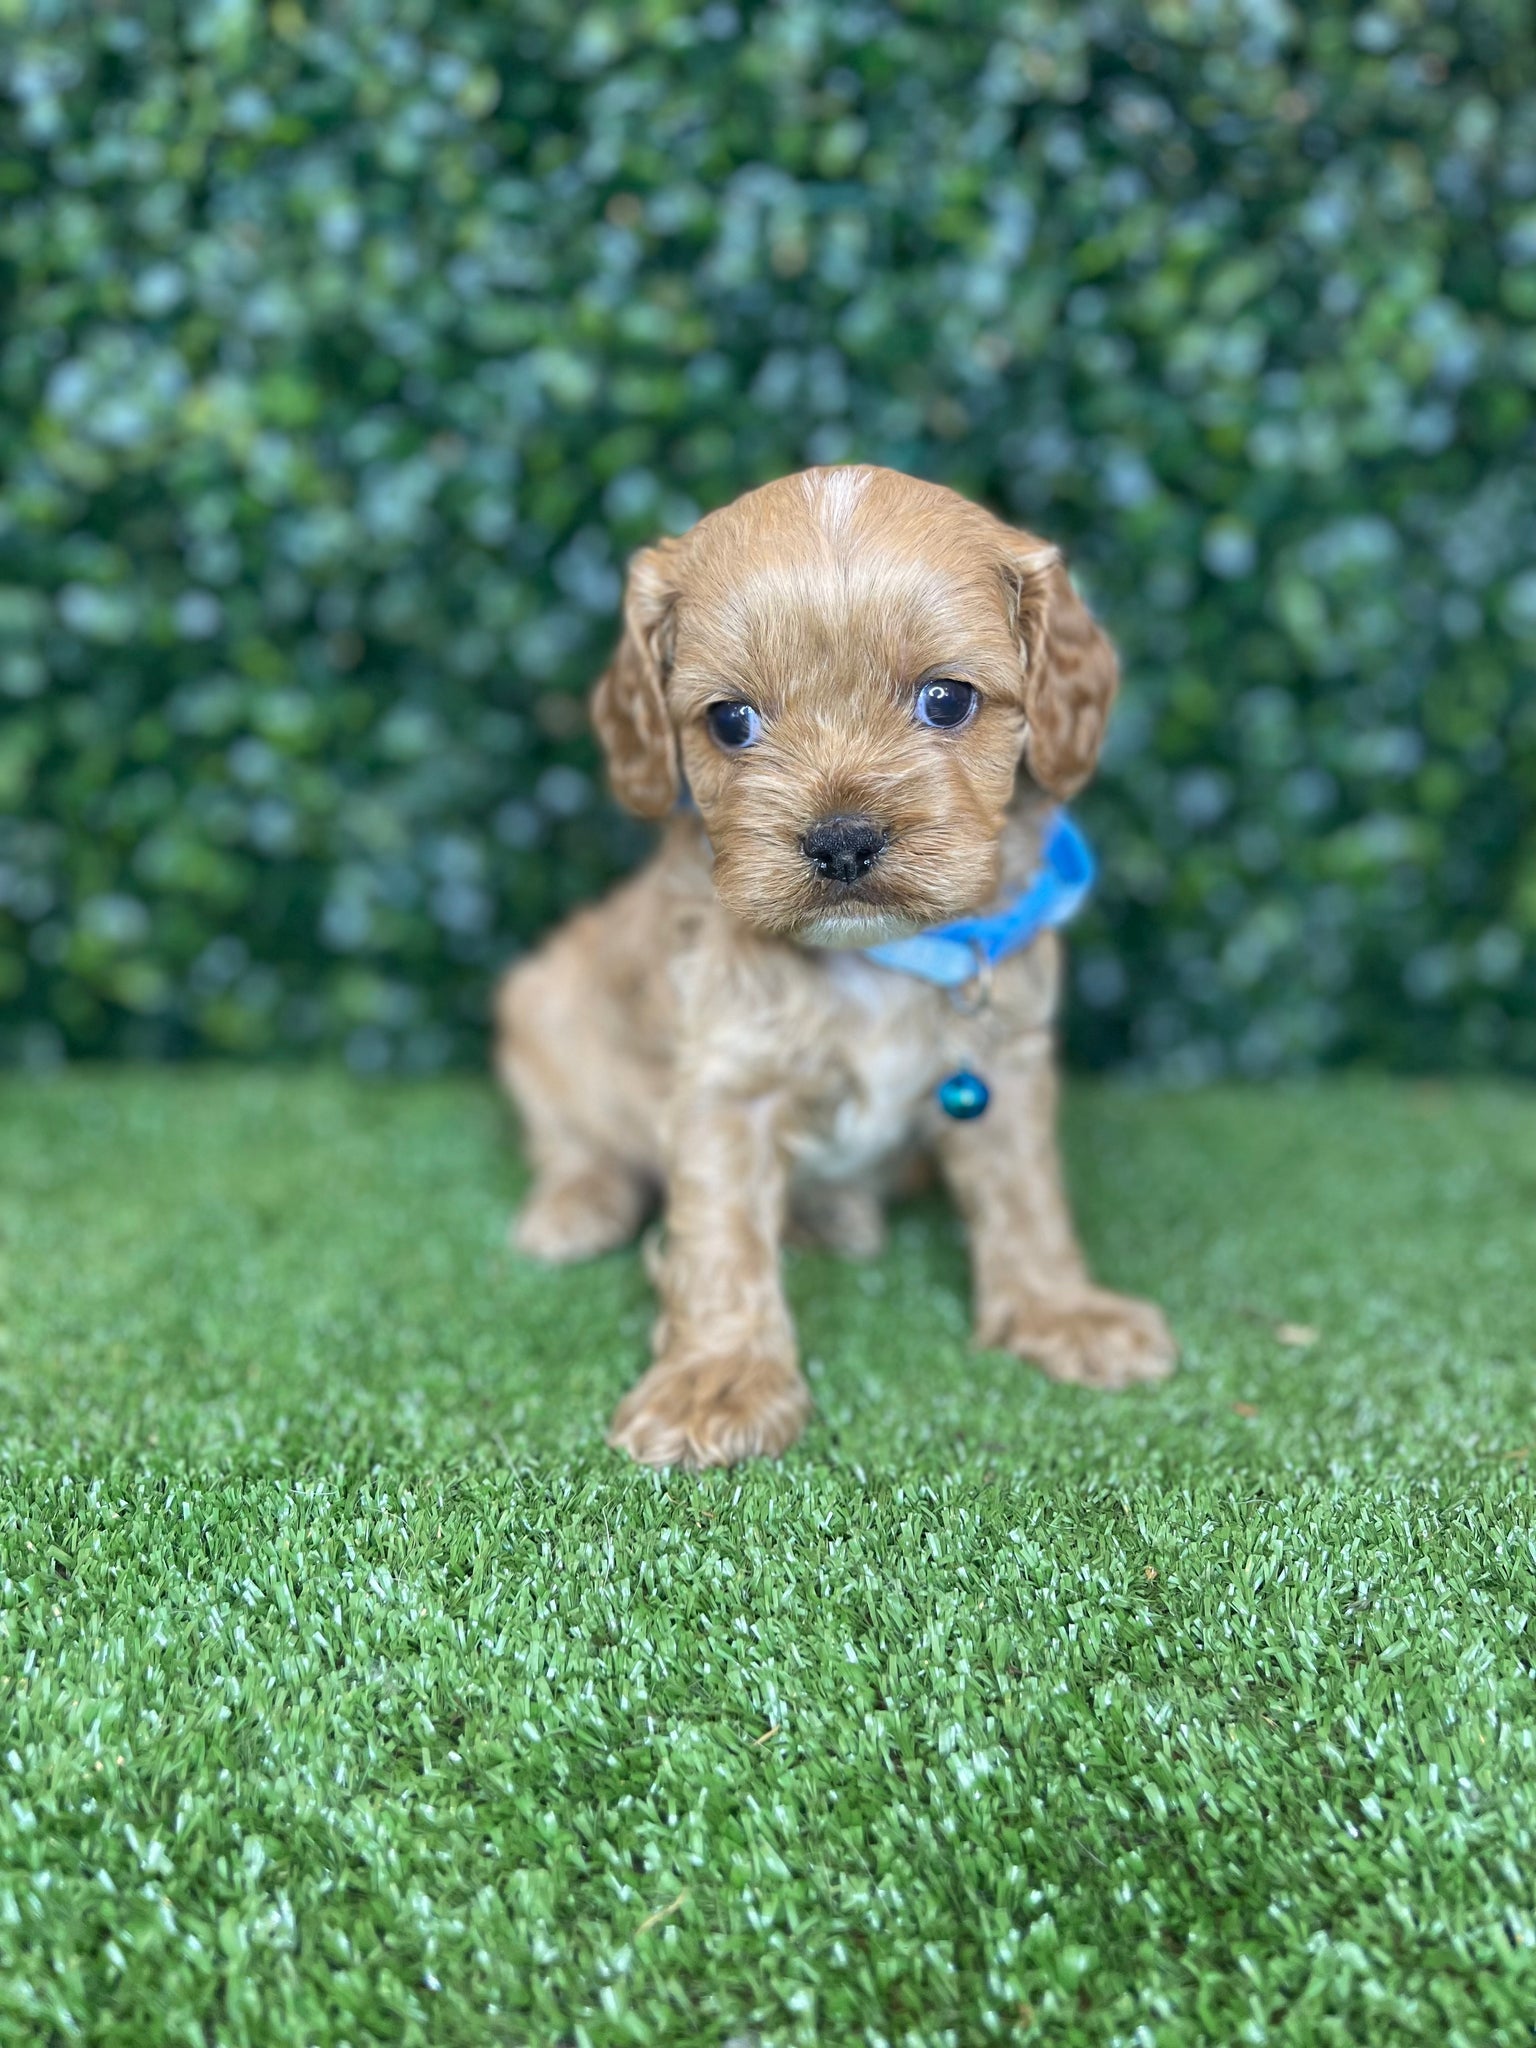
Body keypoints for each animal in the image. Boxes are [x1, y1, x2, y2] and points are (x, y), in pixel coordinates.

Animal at [499, 460, 1171, 1474]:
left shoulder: (1005, 1062)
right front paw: (720, 1380)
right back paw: (575, 1206)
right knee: (573, 1138)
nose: (843, 840)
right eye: (730, 720)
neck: (872, 956)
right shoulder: (722, 1083)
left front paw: (1061, 1311)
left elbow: (1026, 1196)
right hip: (540, 1009)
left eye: (947, 699)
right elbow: (719, 1237)